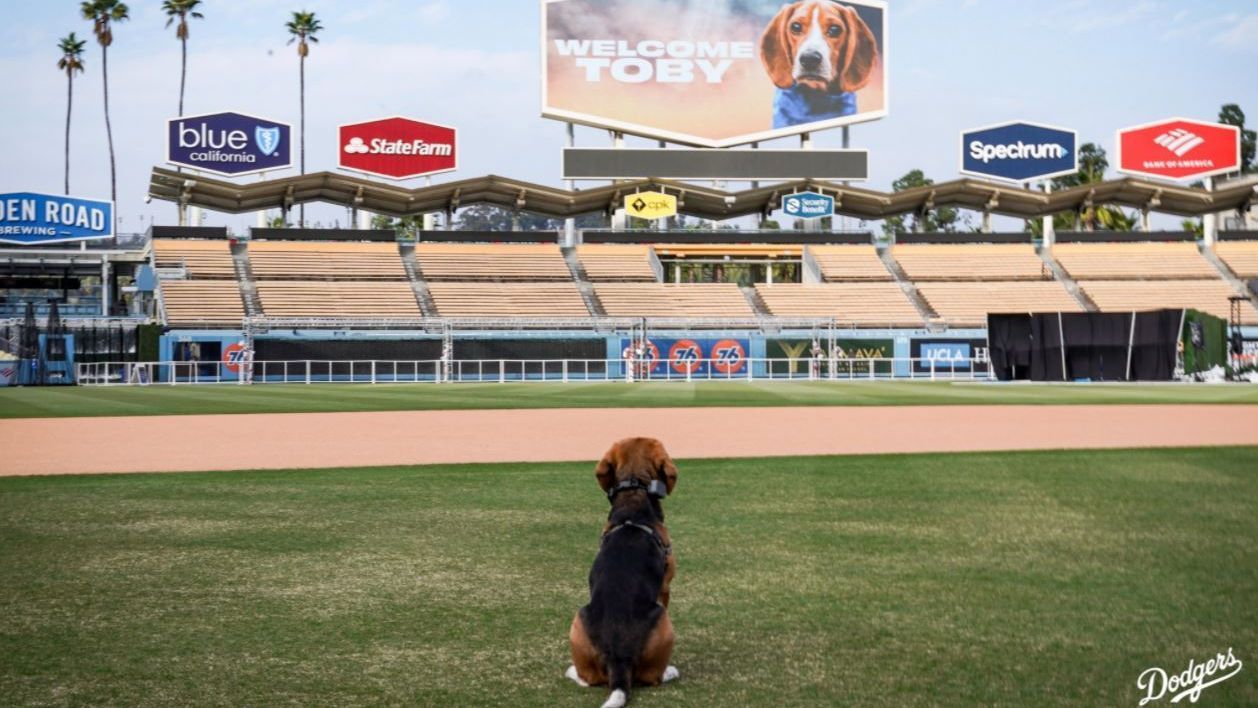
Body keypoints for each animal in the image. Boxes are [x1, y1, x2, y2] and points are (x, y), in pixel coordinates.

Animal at [566, 437, 679, 708]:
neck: (634, 495)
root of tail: (619, 657)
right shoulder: (666, 587)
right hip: (663, 620)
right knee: (651, 677)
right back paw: (670, 671)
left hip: (578, 617)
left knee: (591, 677)